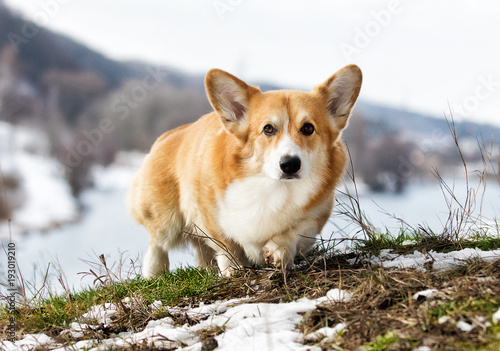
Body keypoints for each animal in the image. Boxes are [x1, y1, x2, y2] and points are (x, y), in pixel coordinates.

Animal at [128, 64, 364, 278]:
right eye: (268, 129)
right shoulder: (211, 215)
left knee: (199, 248)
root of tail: (169, 135)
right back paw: (155, 274)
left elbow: (297, 229)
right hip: (166, 220)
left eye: (308, 128)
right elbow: (227, 247)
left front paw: (279, 250)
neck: (273, 187)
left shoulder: (316, 215)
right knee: (158, 244)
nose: (290, 164)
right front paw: (234, 270)